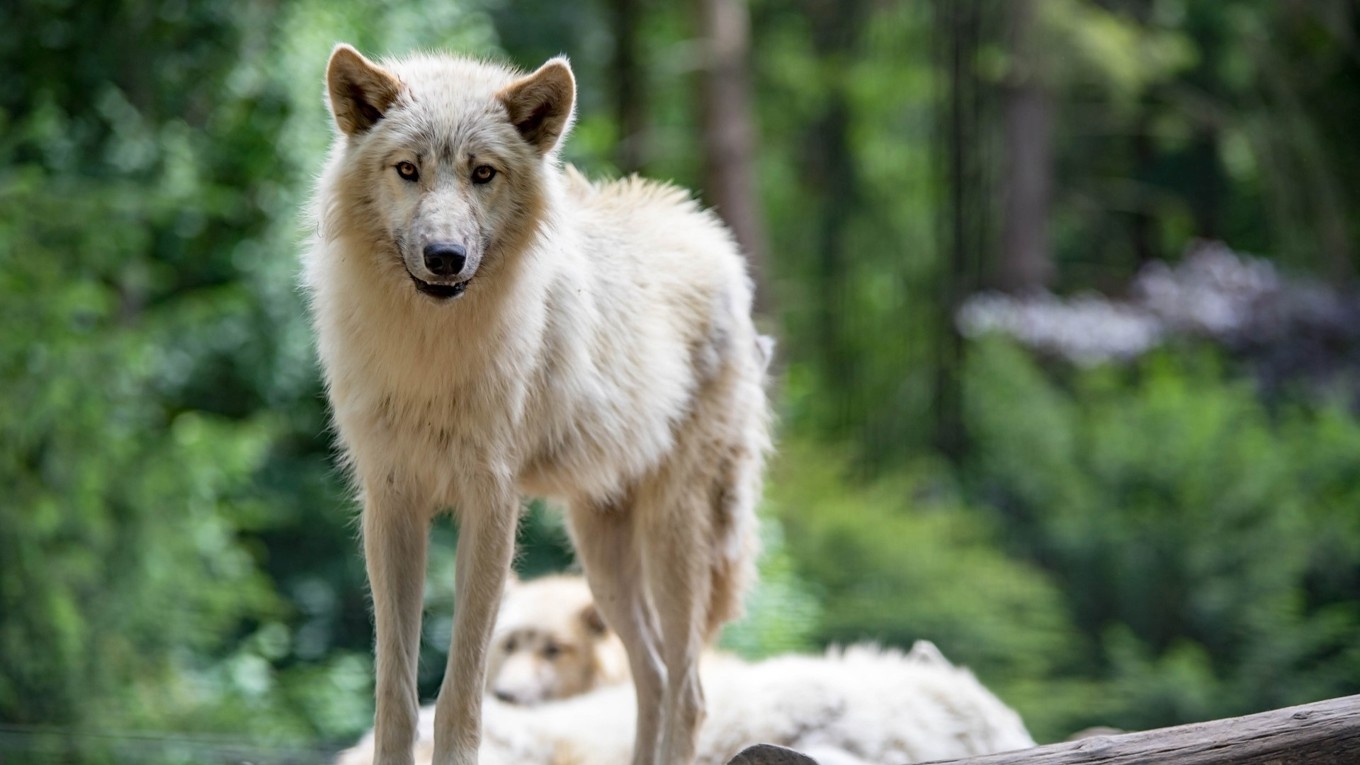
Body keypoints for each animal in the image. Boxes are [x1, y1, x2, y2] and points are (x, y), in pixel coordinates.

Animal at [304, 44, 772, 762]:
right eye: (408, 169)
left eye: (483, 174)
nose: (445, 257)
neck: (431, 352)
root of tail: (711, 233)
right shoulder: (391, 504)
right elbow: (397, 695)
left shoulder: (492, 504)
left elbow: (461, 696)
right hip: (601, 553)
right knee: (653, 678)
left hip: (674, 535)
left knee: (690, 692)